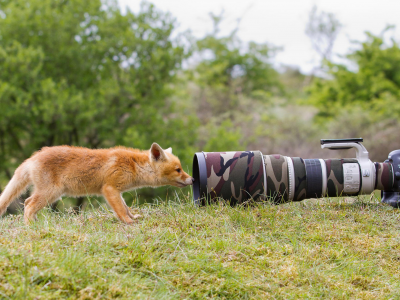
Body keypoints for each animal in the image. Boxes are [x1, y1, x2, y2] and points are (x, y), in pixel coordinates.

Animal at [0, 144, 194, 225]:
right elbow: (121, 210)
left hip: (49, 194)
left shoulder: (117, 192)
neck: (133, 165)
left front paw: (133, 217)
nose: (192, 179)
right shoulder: (109, 189)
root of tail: (33, 157)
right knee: (28, 205)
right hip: (51, 193)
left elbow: (126, 207)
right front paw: (127, 222)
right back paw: (30, 227)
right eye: (178, 169)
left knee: (26, 202)